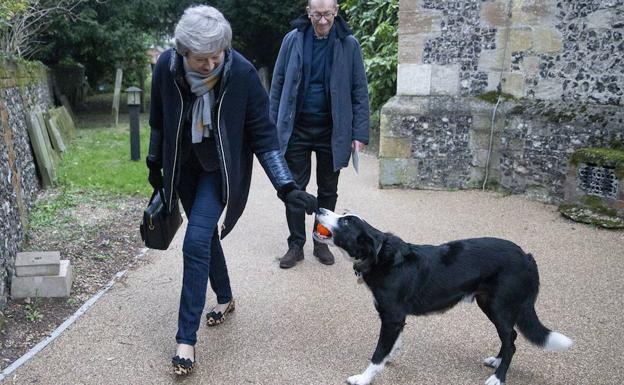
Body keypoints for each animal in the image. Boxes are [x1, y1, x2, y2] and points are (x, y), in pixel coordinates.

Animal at [314, 210, 572, 384]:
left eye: (346, 221)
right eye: (343, 214)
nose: (320, 209)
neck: (380, 257)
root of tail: (526, 256)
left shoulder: (392, 317)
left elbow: (378, 353)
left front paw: (364, 377)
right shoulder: (397, 319)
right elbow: (392, 345)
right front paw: (390, 357)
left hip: (499, 306)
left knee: (510, 342)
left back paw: (498, 378)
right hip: (488, 303)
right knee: (511, 337)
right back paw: (497, 361)